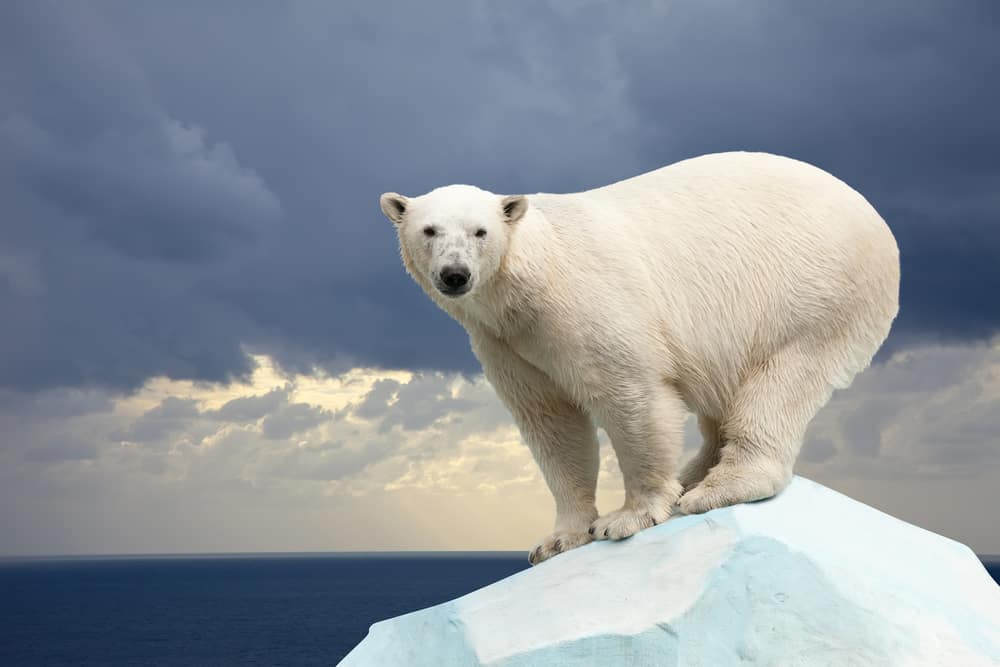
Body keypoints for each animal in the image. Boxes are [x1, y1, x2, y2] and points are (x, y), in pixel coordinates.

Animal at [379, 151, 900, 565]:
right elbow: (551, 422)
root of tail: (876, 220)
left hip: (813, 291)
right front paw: (558, 539)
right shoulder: (505, 343)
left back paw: (718, 487)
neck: (531, 282)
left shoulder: (587, 306)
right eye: (429, 230)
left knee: (782, 381)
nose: (455, 275)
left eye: (480, 231)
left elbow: (631, 396)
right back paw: (694, 475)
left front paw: (627, 516)